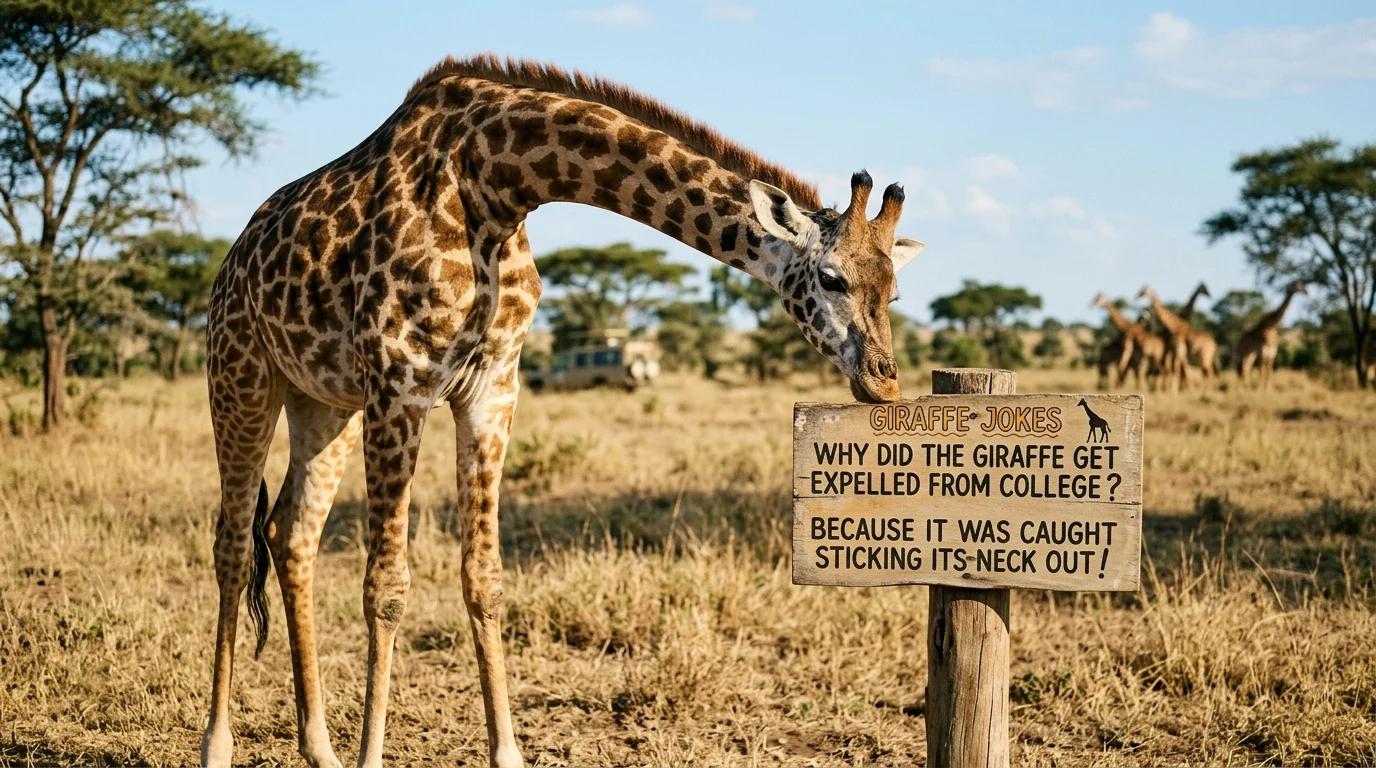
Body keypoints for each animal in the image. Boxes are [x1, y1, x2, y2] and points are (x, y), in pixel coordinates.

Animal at [199, 55, 924, 768]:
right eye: (830, 279)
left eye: (894, 290)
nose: (883, 384)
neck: (496, 183)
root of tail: (230, 261)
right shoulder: (400, 383)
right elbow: (387, 588)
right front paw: (371, 757)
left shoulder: (491, 387)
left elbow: (485, 578)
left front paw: (507, 753)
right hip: (242, 378)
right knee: (233, 544)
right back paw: (217, 745)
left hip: (325, 404)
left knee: (291, 533)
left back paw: (318, 747)